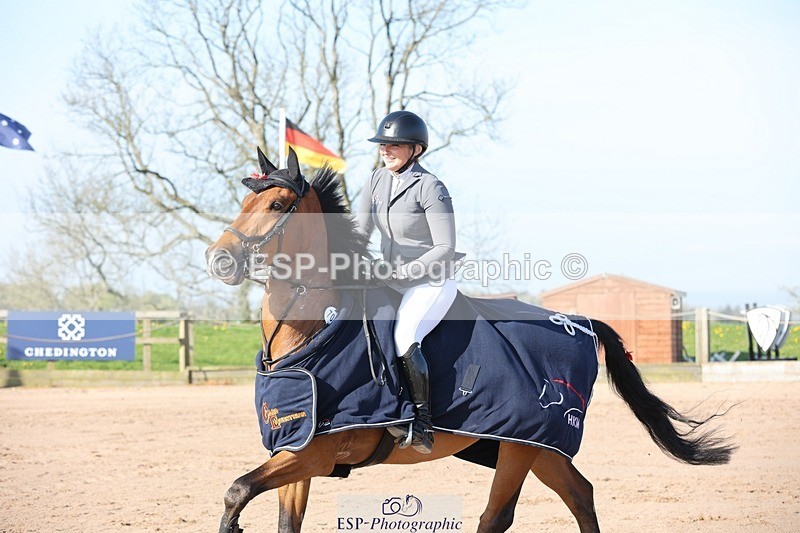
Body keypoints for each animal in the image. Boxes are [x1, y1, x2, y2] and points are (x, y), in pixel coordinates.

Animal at [205, 147, 735, 533]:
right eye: (243, 203)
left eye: (276, 205)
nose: (219, 259)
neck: (312, 335)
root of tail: (579, 322)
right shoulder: (293, 450)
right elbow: (275, 516)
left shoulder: (316, 452)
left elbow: (236, 490)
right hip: (539, 445)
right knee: (580, 495)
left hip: (523, 443)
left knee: (498, 515)